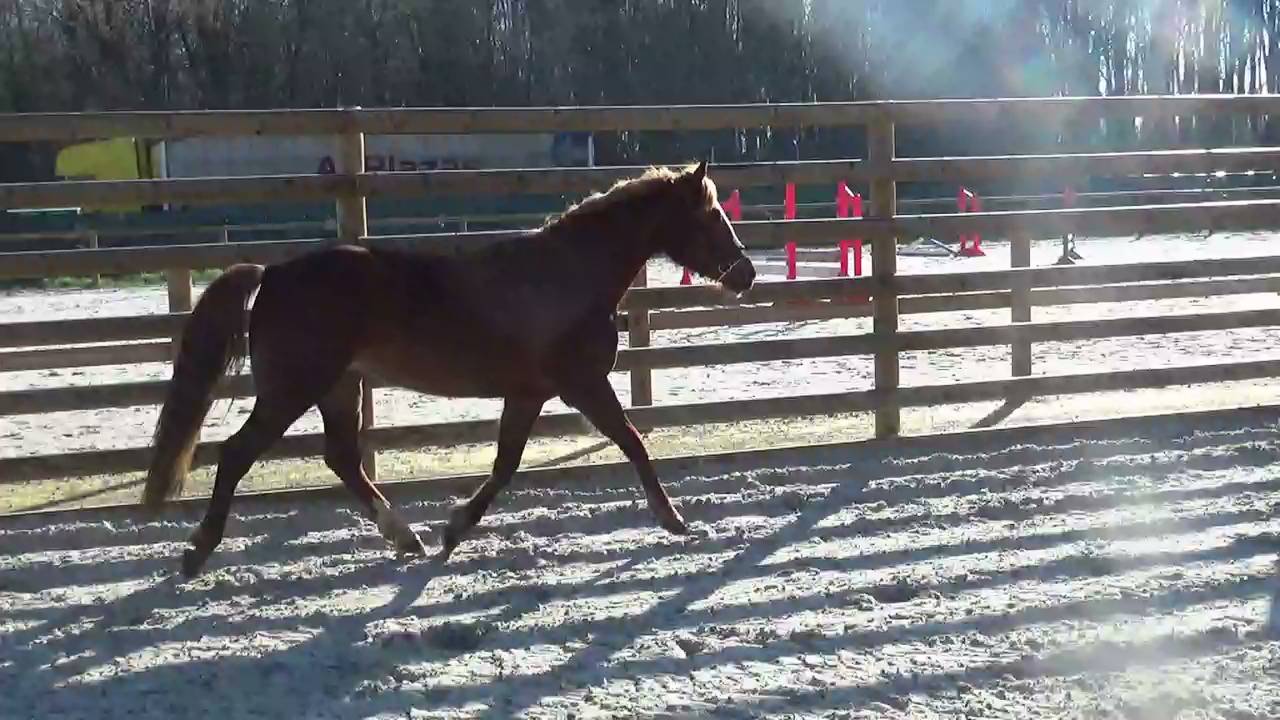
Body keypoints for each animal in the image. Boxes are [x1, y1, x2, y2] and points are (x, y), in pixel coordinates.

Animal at [142, 161, 757, 577]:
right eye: (711, 216)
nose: (745, 273)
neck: (567, 276)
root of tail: (271, 274)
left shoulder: (529, 393)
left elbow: (507, 465)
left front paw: (453, 531)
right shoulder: (582, 385)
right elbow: (632, 442)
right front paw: (673, 518)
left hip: (339, 386)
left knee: (342, 458)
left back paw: (406, 538)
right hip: (292, 390)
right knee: (236, 454)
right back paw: (197, 552)